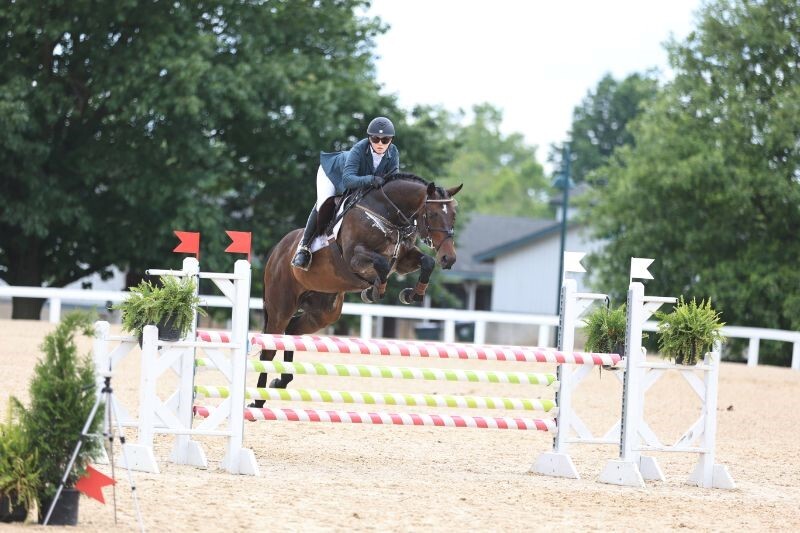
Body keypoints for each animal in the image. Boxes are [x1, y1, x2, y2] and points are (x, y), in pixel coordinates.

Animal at [250, 172, 462, 406]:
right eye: (432, 214)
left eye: (453, 215)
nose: (449, 258)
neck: (387, 216)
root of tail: (275, 252)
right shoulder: (355, 258)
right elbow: (382, 265)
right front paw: (373, 291)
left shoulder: (404, 260)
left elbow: (426, 262)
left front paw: (411, 294)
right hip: (281, 307)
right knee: (269, 349)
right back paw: (257, 401)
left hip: (323, 312)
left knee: (292, 331)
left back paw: (281, 381)